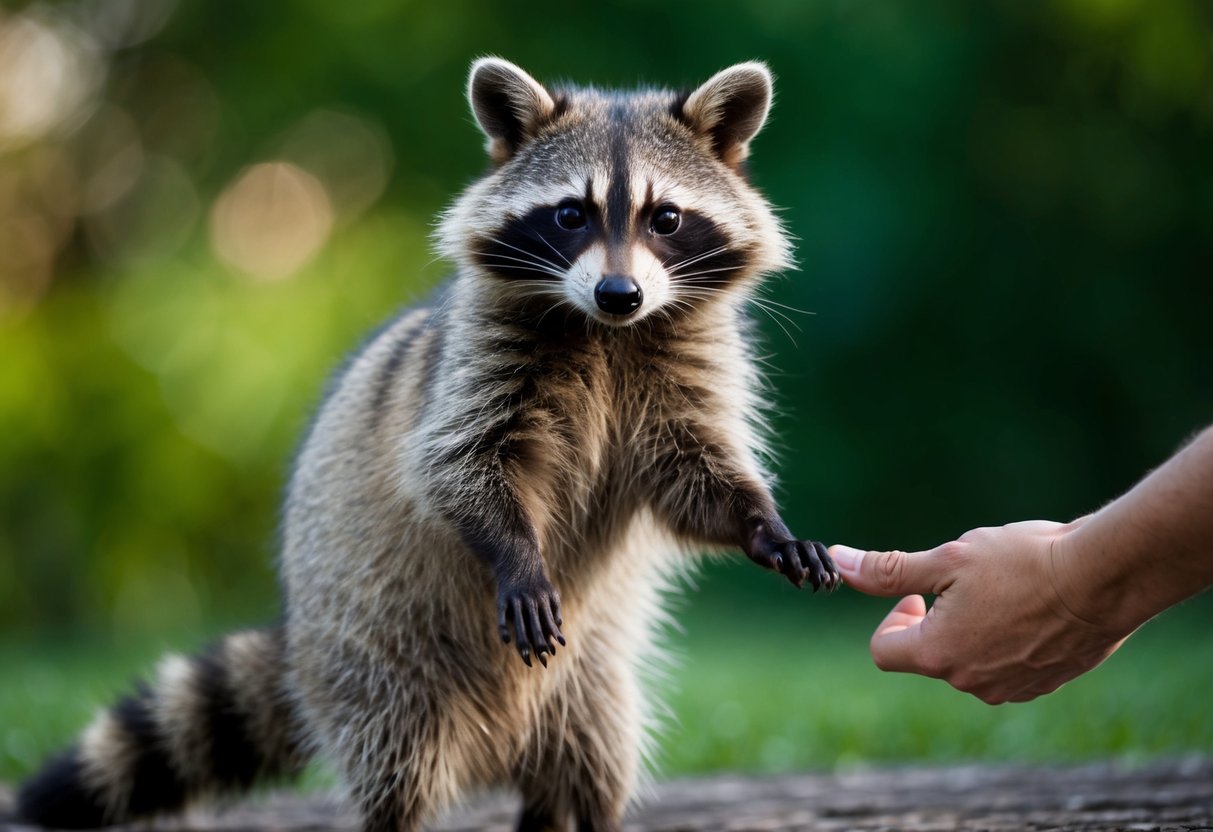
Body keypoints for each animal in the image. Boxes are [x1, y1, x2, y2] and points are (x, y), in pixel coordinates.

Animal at [16, 58, 839, 832]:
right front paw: (516, 553)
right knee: (396, 753)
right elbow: (458, 465)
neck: (607, 335)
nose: (619, 294)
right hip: (378, 657)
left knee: (596, 754)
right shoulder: (477, 365)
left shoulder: (683, 371)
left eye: (664, 217)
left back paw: (577, 811)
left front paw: (762, 523)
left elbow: (691, 475)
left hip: (589, 680)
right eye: (570, 214)